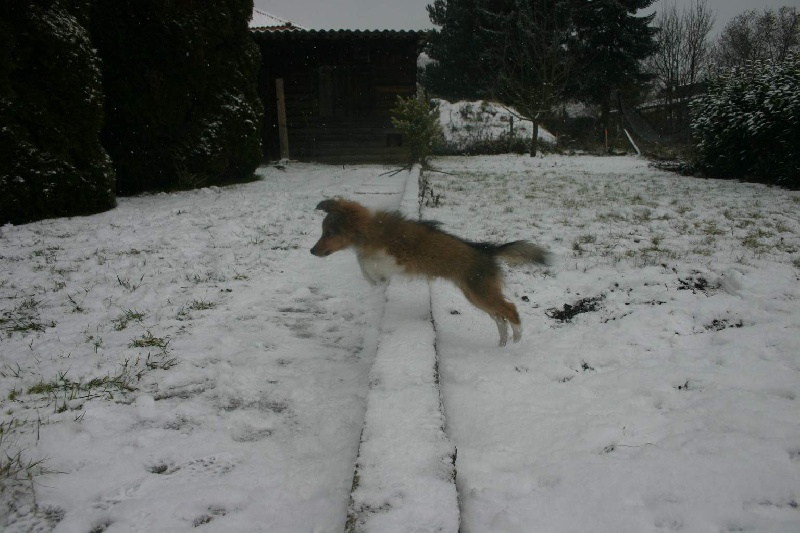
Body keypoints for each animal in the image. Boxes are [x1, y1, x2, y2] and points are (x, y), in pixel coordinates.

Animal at [310, 198, 552, 344]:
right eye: (323, 231)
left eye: (330, 233)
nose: (312, 251)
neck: (370, 231)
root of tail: (487, 250)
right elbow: (362, 261)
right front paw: (372, 279)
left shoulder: (401, 259)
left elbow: (368, 262)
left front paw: (375, 276)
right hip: (476, 295)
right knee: (499, 316)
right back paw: (503, 340)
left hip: (480, 293)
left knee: (510, 309)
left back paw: (517, 336)